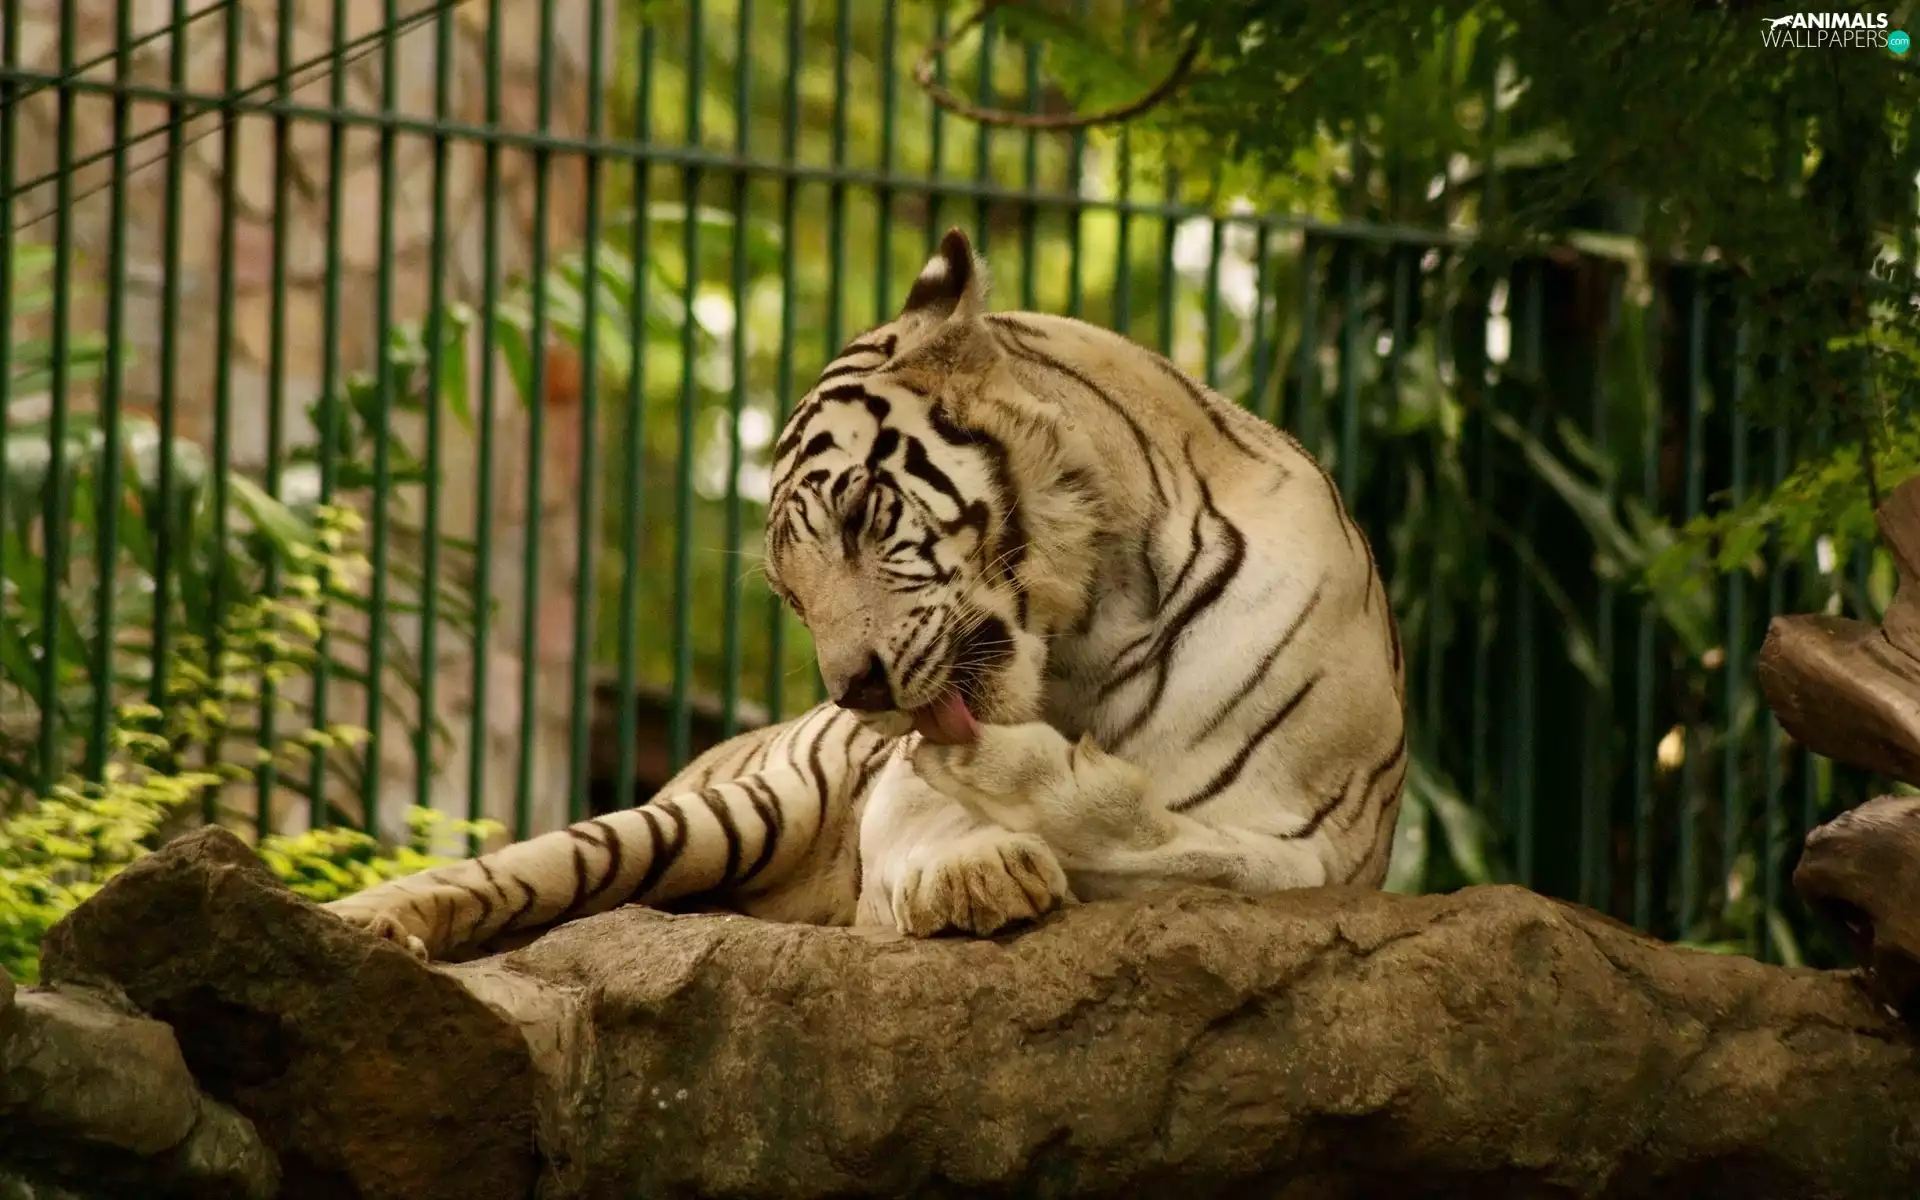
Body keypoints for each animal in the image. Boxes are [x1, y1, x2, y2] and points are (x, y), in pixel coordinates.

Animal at [324, 228, 1408, 962]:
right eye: (791, 595)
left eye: (855, 517)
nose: (857, 693)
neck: (1095, 628)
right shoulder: (891, 794)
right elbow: (935, 819)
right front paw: (979, 869)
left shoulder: (1319, 846)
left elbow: (1188, 844)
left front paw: (1034, 791)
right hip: (722, 812)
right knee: (514, 868)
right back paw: (364, 925)